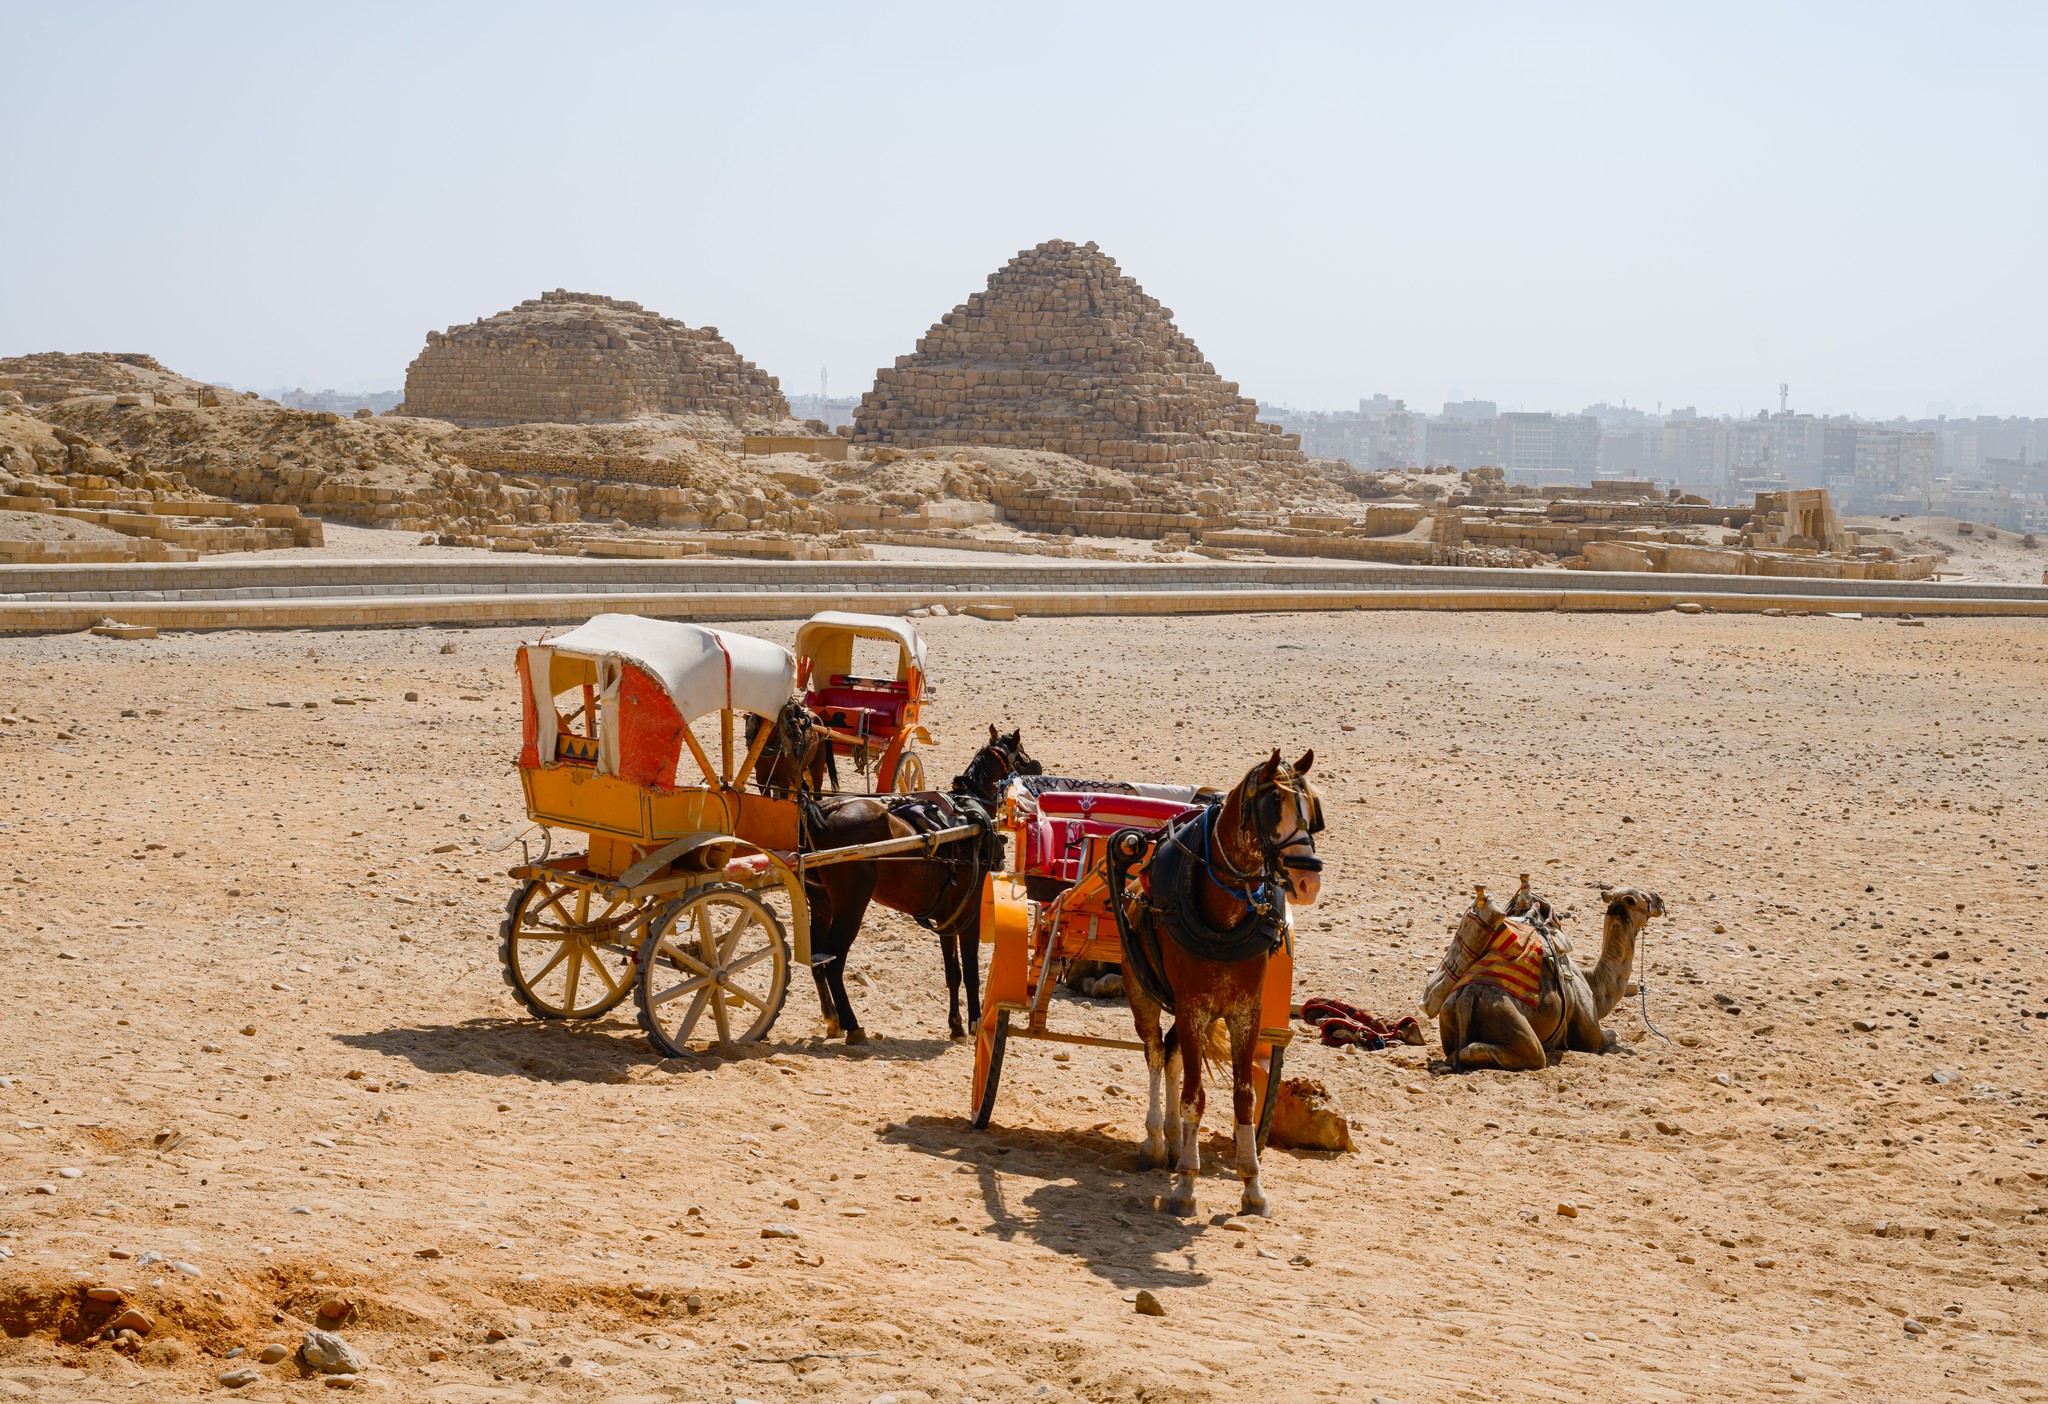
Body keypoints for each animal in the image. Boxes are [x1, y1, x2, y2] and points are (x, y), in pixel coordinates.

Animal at [755, 722, 1042, 1043]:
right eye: (1022, 755)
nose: (1038, 767)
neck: (970, 815)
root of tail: (822, 812)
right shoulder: (969, 916)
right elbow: (971, 972)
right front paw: (974, 1022)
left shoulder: (946, 918)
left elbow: (952, 973)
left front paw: (955, 1025)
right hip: (852, 904)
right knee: (834, 962)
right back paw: (852, 1025)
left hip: (821, 904)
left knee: (819, 962)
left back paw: (833, 1020)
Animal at [1109, 749, 1323, 1218]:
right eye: (1273, 808)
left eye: (1312, 811)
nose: (1308, 881)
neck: (1223, 916)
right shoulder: (1193, 1007)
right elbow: (1195, 1096)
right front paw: (1187, 1185)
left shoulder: (1246, 1012)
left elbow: (1244, 1097)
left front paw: (1252, 1185)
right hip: (1143, 995)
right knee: (1156, 1054)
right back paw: (1156, 1141)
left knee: (1172, 1055)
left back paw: (1174, 1142)